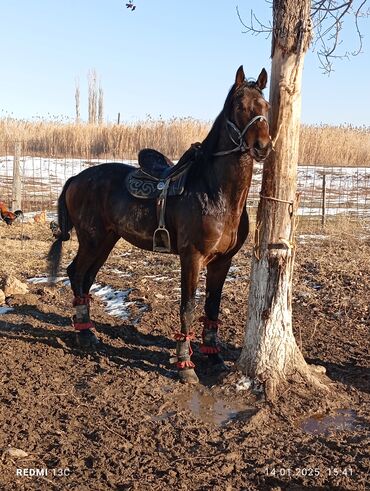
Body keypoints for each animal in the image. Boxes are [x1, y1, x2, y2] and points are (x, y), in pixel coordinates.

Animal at [47, 66, 270, 384]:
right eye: (239, 106)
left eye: (266, 106)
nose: (263, 146)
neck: (216, 193)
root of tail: (76, 179)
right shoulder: (192, 258)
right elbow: (188, 308)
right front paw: (185, 365)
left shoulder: (222, 262)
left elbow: (212, 307)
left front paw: (214, 359)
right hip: (91, 240)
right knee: (76, 274)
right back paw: (84, 335)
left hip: (106, 241)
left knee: (85, 278)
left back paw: (86, 329)